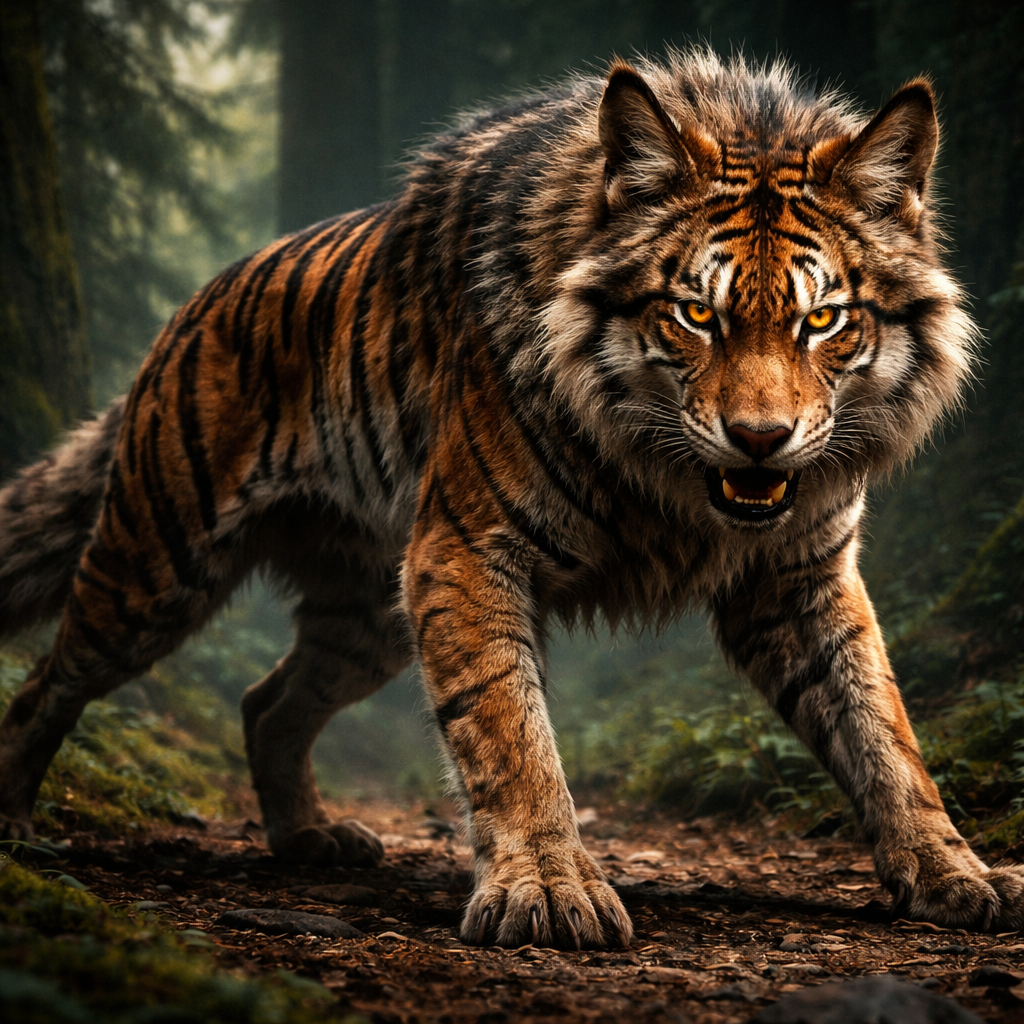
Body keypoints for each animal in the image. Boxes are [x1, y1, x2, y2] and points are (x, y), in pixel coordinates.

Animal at [0, 47, 1017, 950]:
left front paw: (952, 871)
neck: (672, 483)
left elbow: (882, 728)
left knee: (266, 703)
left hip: (367, 615)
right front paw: (550, 890)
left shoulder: (802, 577)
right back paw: (13, 820)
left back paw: (309, 839)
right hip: (155, 567)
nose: (759, 438)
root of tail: (194, 302)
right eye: (696, 314)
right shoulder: (466, 550)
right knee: (47, 681)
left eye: (823, 319)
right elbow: (506, 729)